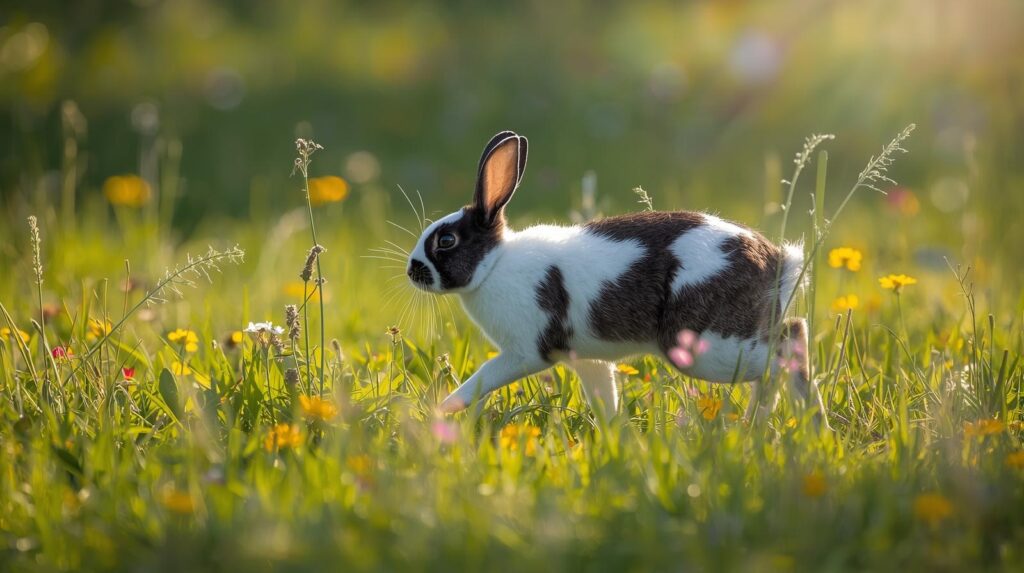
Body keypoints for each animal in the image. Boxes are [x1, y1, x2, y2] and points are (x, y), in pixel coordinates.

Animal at [406, 130, 828, 425]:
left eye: (446, 241)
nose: (412, 271)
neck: (494, 265)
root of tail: (777, 262)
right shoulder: (586, 360)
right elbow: (605, 399)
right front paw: (616, 440)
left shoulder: (524, 353)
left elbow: (478, 381)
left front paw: (437, 413)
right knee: (788, 344)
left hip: (707, 345)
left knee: (786, 347)